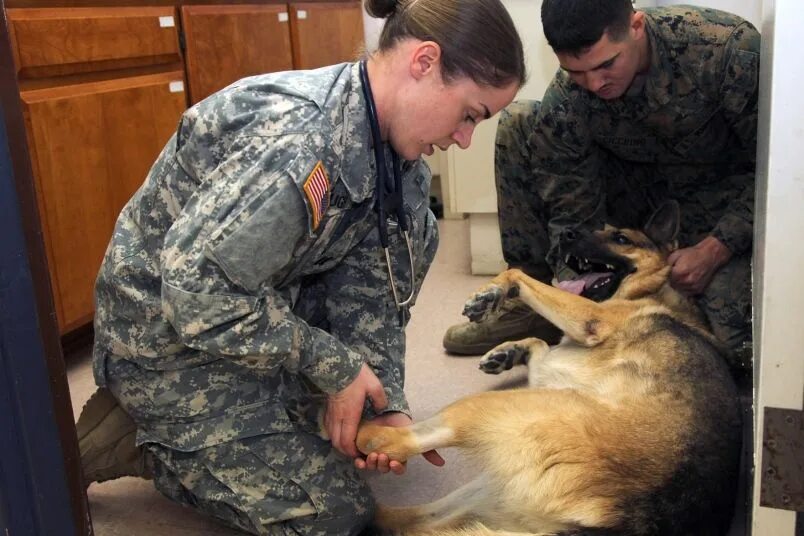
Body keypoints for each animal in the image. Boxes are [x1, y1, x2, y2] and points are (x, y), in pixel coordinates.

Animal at [358, 203, 740, 532]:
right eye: (599, 229)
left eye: (620, 238)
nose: (566, 234)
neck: (651, 288)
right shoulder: (559, 356)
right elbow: (540, 344)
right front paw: (506, 350)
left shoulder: (590, 320)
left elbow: (518, 275)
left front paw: (492, 292)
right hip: (486, 491)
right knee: (411, 521)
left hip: (507, 409)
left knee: (404, 441)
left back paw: (366, 434)